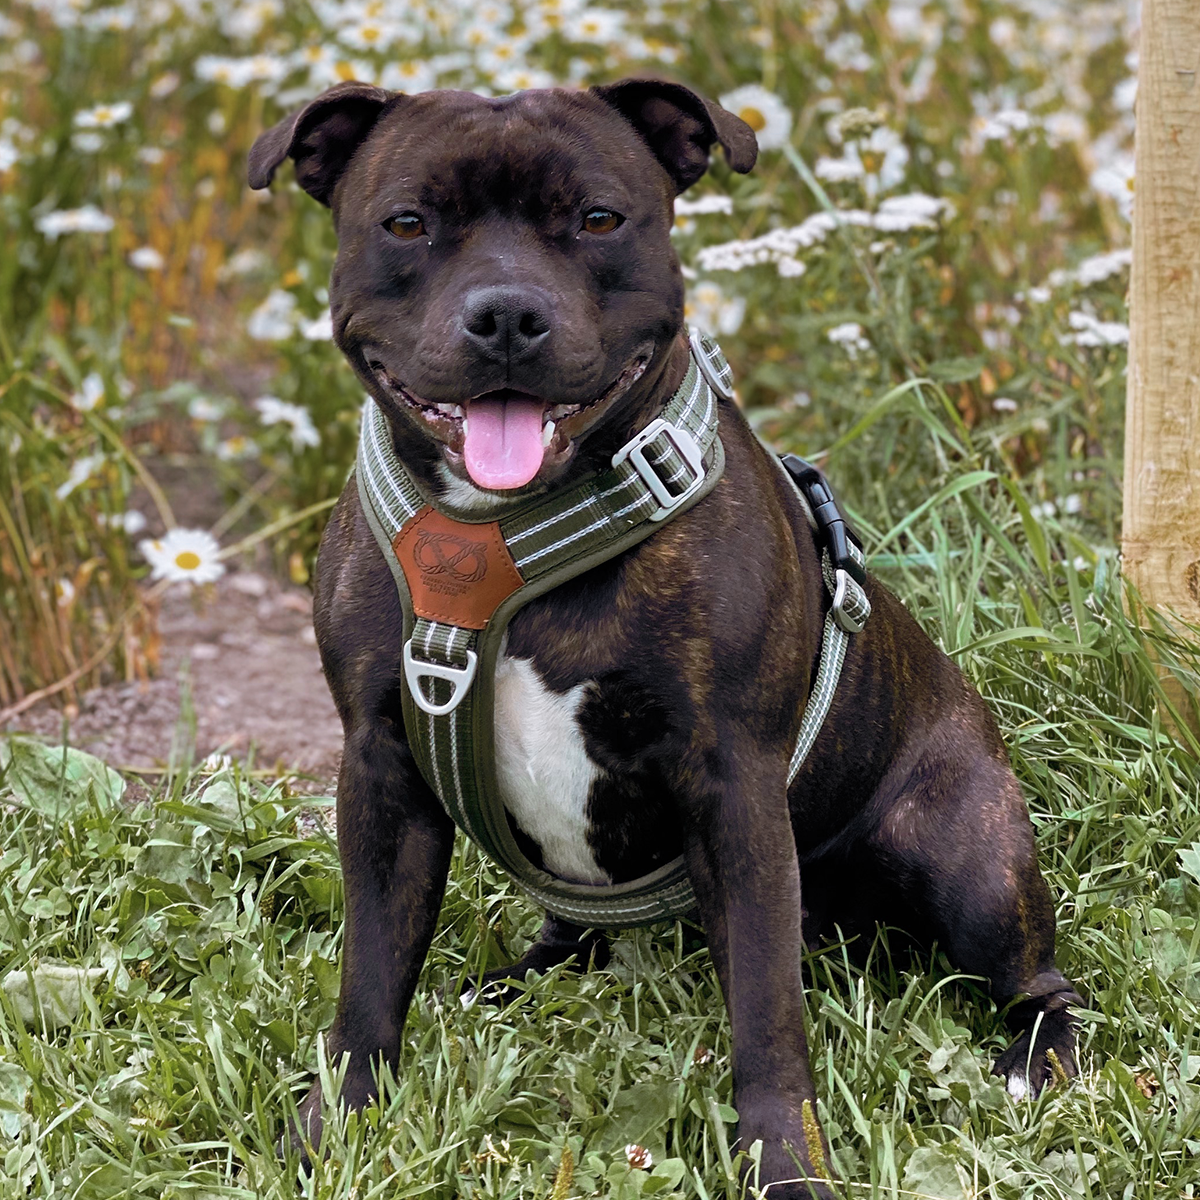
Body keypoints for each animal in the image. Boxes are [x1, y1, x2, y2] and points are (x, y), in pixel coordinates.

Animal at [248, 79, 1084, 1195]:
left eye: (601, 219)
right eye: (408, 223)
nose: (506, 313)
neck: (509, 532)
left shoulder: (735, 787)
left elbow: (766, 1014)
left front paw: (785, 1161)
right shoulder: (383, 771)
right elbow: (371, 975)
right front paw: (333, 1128)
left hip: (963, 850)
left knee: (1038, 976)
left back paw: (1036, 1057)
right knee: (574, 935)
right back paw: (513, 979)